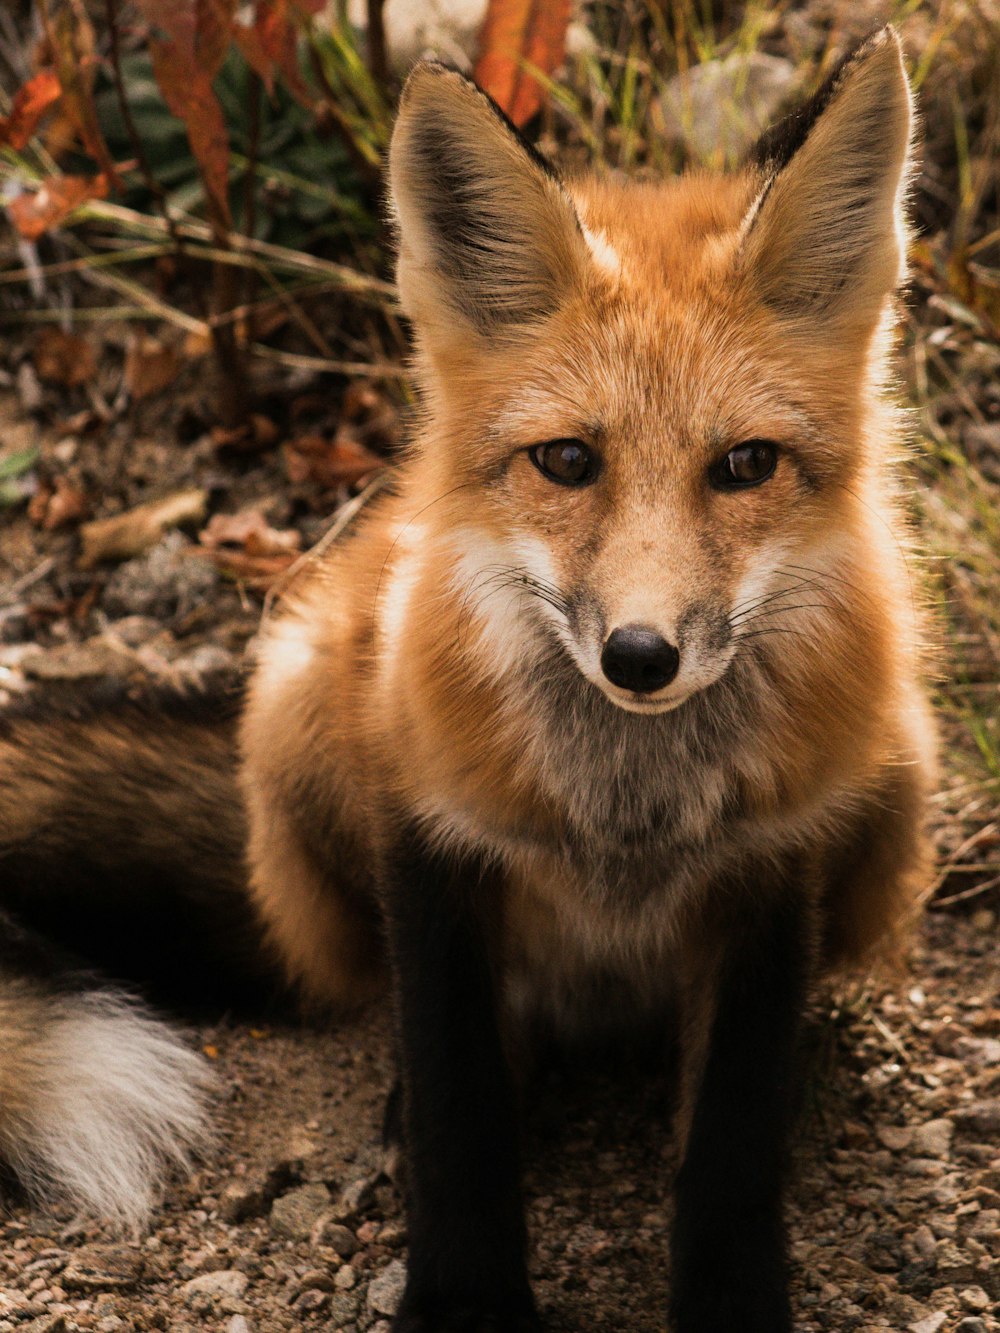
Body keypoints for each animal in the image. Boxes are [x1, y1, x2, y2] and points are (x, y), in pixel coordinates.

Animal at [1, 28, 938, 1333]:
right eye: (567, 460)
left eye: (746, 464)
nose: (639, 655)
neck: (624, 816)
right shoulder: (430, 837)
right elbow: (460, 1116)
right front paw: (461, 1299)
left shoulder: (774, 867)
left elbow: (731, 1148)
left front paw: (732, 1295)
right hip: (298, 707)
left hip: (898, 769)